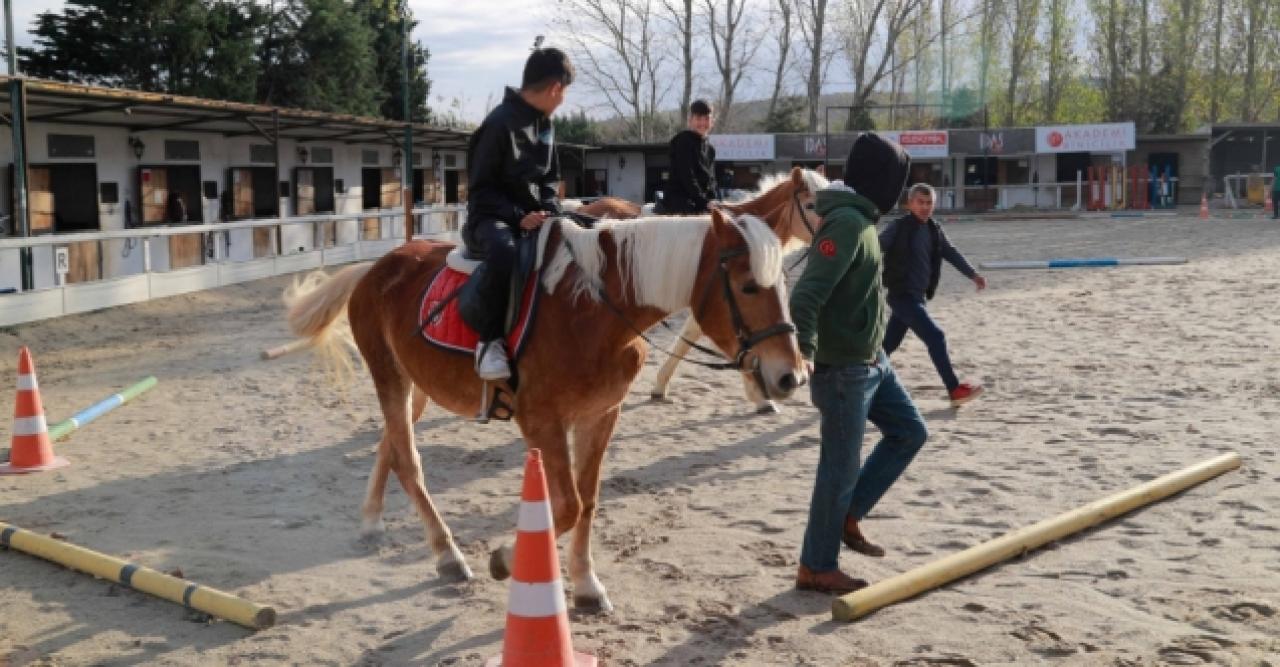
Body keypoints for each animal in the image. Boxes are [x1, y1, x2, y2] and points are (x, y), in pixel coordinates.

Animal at [285, 206, 803, 609]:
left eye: (781, 285)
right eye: (748, 286)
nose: (790, 376)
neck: (595, 311)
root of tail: (376, 268)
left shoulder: (600, 416)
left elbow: (587, 500)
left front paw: (587, 586)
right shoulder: (541, 422)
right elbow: (567, 505)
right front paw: (506, 559)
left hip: (416, 387)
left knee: (389, 445)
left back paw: (371, 521)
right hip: (389, 377)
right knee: (408, 461)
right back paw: (448, 556)